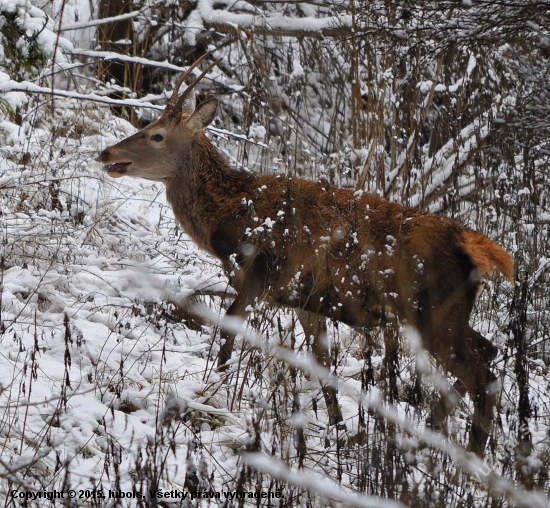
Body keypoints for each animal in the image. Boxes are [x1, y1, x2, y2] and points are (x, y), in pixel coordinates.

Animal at [98, 53, 512, 454]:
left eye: (156, 135)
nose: (106, 152)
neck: (228, 216)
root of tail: (479, 248)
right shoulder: (304, 297)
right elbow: (322, 364)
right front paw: (338, 430)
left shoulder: (262, 271)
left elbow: (230, 325)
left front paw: (214, 386)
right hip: (449, 311)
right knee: (489, 352)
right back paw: (432, 429)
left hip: (434, 310)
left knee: (482, 374)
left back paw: (468, 452)